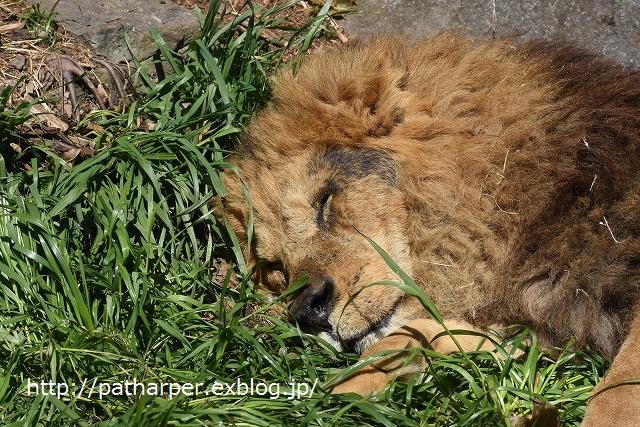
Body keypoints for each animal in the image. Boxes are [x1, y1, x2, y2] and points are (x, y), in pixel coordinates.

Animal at [216, 35, 640, 426]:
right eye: (276, 266)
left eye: (324, 201)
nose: (308, 312)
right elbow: (417, 333)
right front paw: (335, 394)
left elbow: (617, 393)